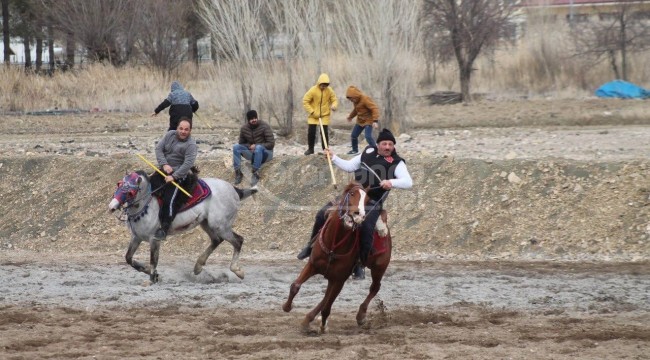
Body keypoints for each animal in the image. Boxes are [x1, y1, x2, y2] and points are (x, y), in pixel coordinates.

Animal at [109, 170, 256, 282]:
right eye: (119, 185)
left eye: (130, 191)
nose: (112, 206)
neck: (147, 205)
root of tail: (235, 190)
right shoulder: (136, 237)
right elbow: (128, 258)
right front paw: (148, 271)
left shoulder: (154, 239)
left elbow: (153, 261)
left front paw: (152, 278)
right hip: (207, 224)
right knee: (216, 240)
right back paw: (198, 267)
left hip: (221, 226)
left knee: (238, 241)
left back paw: (237, 270)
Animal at [282, 183, 392, 334]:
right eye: (351, 194)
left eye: (366, 199)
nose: (359, 215)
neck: (334, 245)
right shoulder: (313, 265)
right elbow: (295, 286)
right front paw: (287, 307)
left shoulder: (340, 279)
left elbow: (327, 307)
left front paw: (323, 327)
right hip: (332, 276)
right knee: (326, 297)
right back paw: (307, 319)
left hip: (379, 267)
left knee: (374, 287)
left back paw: (361, 315)